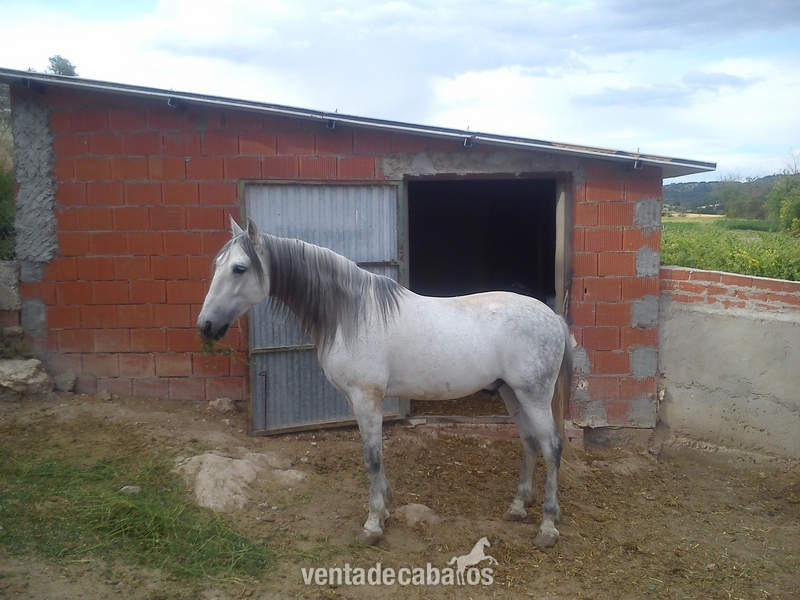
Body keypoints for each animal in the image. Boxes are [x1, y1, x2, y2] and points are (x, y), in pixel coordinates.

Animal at [198, 217, 573, 548]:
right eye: (216, 265)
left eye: (239, 268)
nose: (205, 325)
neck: (352, 315)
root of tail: (553, 317)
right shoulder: (356, 400)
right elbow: (375, 454)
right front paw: (386, 509)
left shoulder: (367, 397)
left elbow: (372, 458)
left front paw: (372, 524)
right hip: (511, 392)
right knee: (530, 442)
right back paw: (518, 507)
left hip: (533, 394)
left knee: (552, 446)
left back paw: (548, 526)